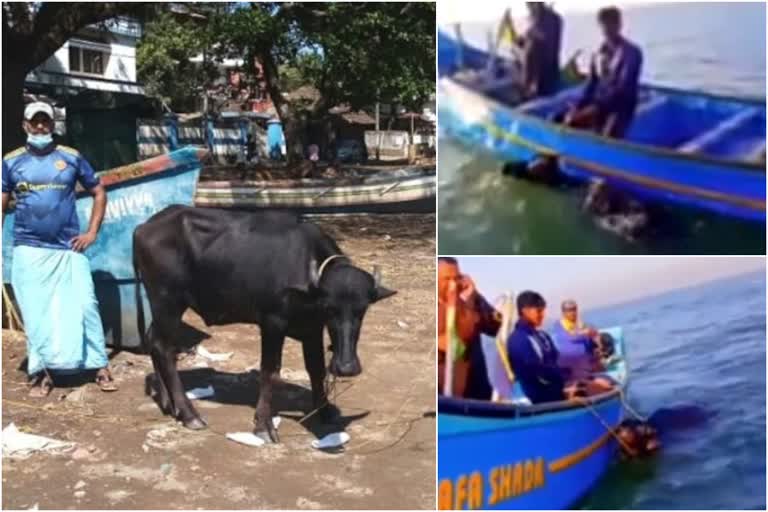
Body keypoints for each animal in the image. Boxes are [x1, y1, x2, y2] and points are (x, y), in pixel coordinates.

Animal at [134, 206, 396, 442]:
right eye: (330, 307)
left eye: (362, 310)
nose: (346, 367)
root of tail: (143, 227)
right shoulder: (272, 324)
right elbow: (270, 373)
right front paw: (264, 425)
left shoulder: (312, 329)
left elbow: (316, 369)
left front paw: (324, 410)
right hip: (168, 303)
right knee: (164, 349)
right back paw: (189, 414)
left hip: (162, 308)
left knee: (153, 341)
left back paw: (168, 403)